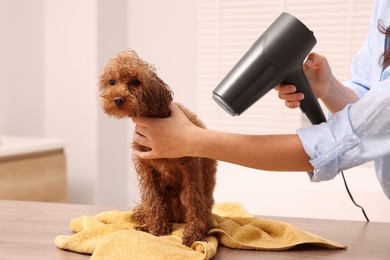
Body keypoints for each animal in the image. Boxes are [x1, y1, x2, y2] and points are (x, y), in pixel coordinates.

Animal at [99, 49, 218, 247]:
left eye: (136, 82)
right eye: (112, 82)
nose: (118, 99)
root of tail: (177, 217)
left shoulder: (191, 167)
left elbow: (194, 201)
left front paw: (193, 234)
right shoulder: (146, 169)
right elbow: (153, 200)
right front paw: (158, 230)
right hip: (146, 206)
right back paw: (146, 226)